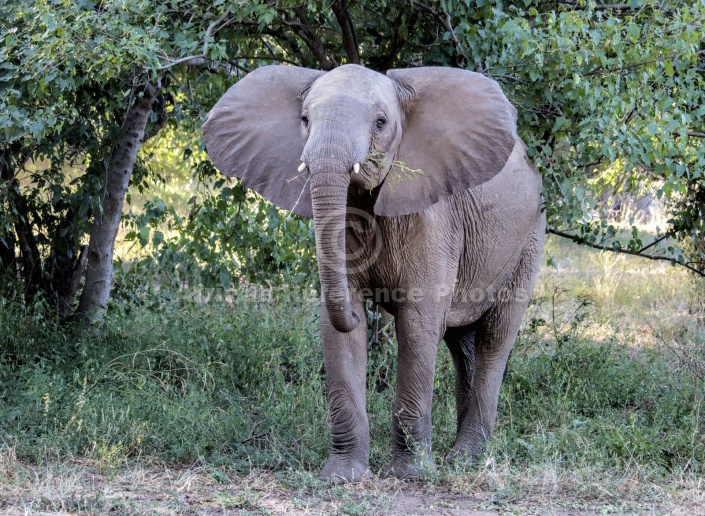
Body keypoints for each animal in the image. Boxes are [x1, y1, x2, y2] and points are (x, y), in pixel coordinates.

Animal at [202, 64, 544, 484]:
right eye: (304, 120)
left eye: (381, 123)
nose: (363, 308)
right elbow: (337, 332)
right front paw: (341, 476)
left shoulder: (434, 219)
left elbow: (417, 323)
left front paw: (411, 474)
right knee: (460, 340)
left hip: (530, 236)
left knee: (496, 336)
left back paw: (463, 459)